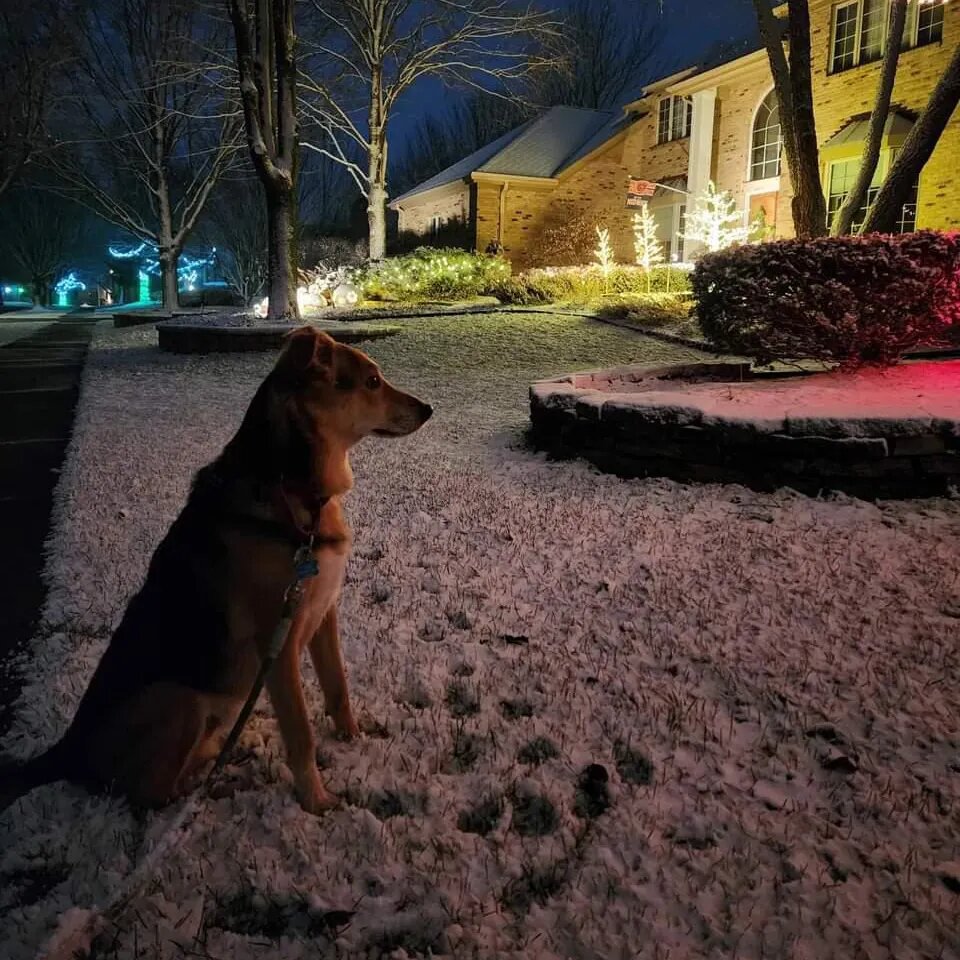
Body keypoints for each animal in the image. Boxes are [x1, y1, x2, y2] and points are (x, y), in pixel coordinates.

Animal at [0, 326, 430, 812]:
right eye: (372, 381)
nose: (428, 410)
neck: (292, 491)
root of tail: (67, 750)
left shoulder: (324, 613)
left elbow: (338, 688)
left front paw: (353, 741)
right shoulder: (277, 644)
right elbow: (300, 733)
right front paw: (315, 801)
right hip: (179, 700)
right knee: (148, 795)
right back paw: (214, 788)